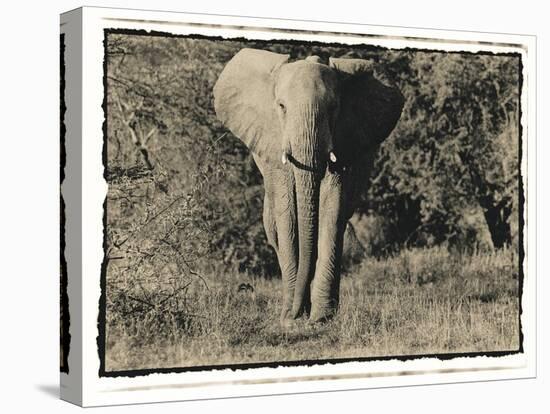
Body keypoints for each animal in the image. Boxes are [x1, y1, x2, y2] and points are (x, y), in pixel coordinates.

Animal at [216, 48, 406, 326]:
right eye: (281, 107)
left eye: (333, 108)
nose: (296, 314)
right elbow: (287, 211)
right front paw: (291, 317)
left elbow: (332, 204)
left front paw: (320, 317)